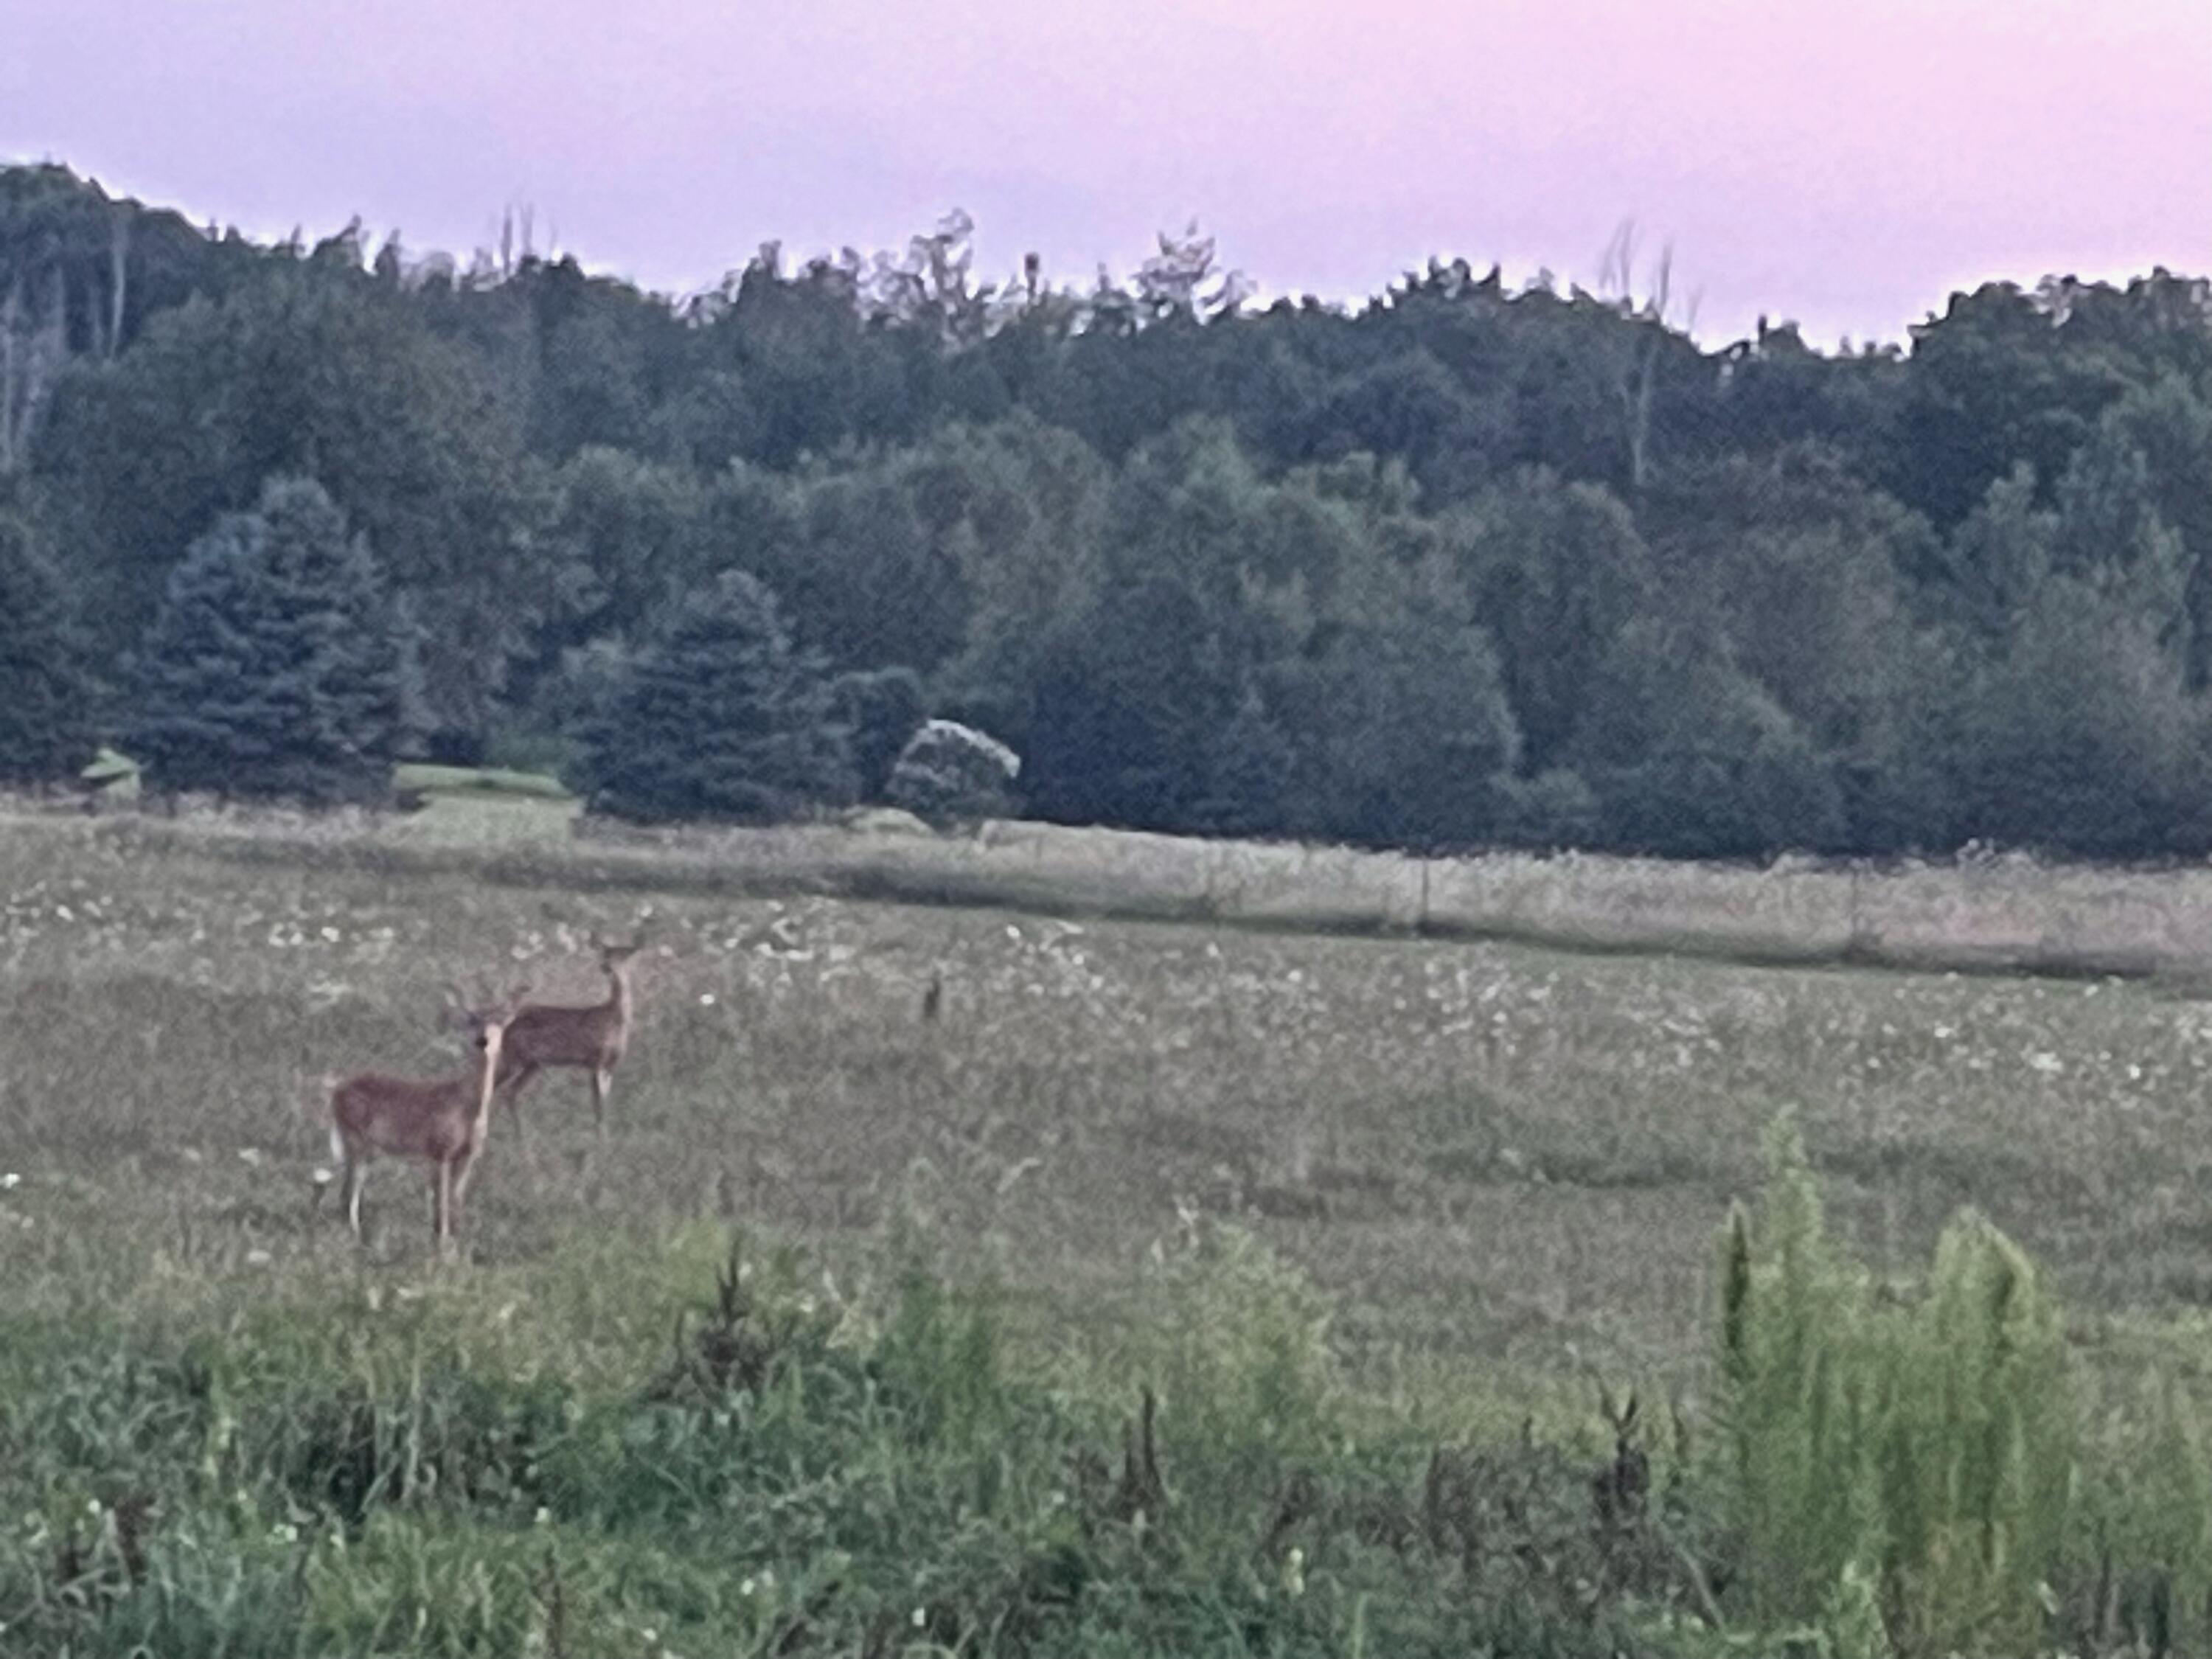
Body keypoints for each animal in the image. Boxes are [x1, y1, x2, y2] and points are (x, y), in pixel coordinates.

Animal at [325, 987, 529, 1256]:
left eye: (501, 1020)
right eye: (472, 1019)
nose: (482, 1040)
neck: (466, 1107)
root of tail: (336, 1091)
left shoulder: (468, 1156)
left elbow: (455, 1200)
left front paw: (455, 1246)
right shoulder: (439, 1149)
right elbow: (441, 1201)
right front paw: (443, 1249)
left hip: (367, 1147)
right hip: (353, 1138)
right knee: (349, 1189)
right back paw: (355, 1240)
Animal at [498, 938, 646, 1141]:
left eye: (623, 955)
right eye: (605, 954)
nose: (606, 967)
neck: (615, 1019)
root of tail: (508, 1025)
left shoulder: (610, 1066)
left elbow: (603, 1103)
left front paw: (604, 1138)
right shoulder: (596, 1060)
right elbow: (598, 1105)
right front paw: (602, 1141)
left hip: (532, 1064)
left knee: (509, 1092)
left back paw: (520, 1139)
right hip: (516, 1059)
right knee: (496, 1089)